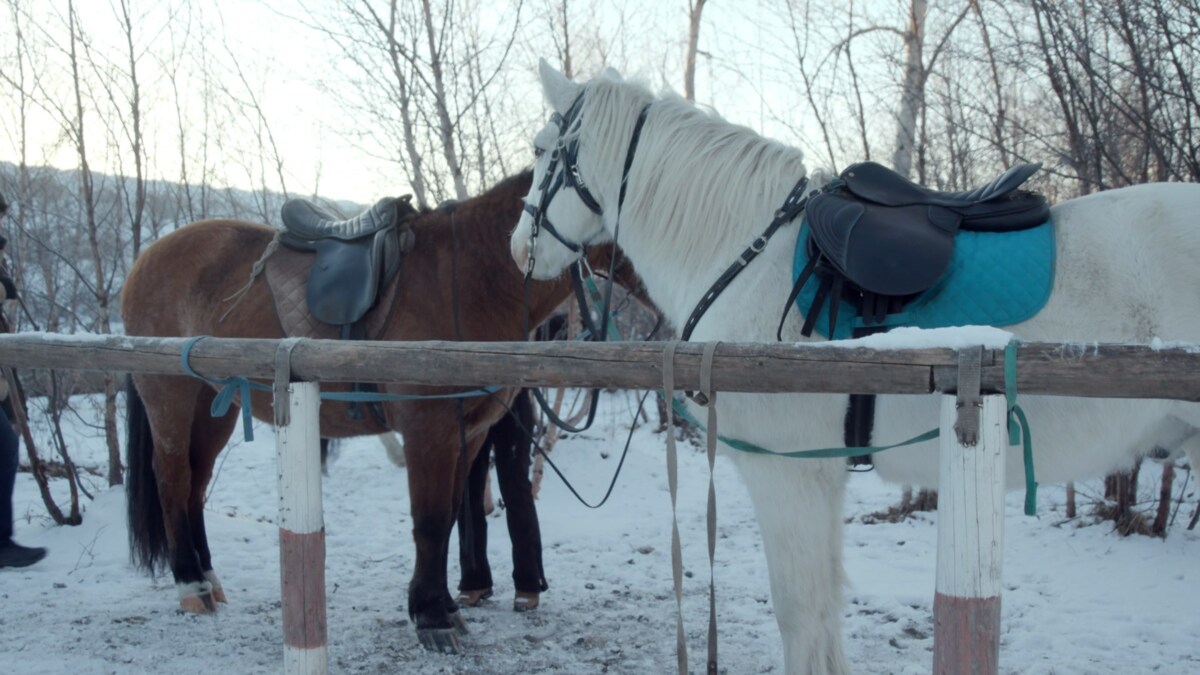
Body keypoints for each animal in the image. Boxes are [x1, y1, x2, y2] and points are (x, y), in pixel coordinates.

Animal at [123, 170, 643, 648]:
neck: (469, 277)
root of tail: (146, 257)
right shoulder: (427, 428)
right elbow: (430, 520)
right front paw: (433, 618)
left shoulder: (468, 432)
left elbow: (449, 516)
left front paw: (440, 605)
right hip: (170, 398)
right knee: (172, 480)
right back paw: (191, 585)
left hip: (217, 406)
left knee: (195, 484)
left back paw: (208, 578)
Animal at [508, 60, 1200, 667]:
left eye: (542, 151)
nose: (519, 250)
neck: (744, 255)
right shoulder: (821, 476)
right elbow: (823, 614)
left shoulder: (787, 473)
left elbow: (800, 614)